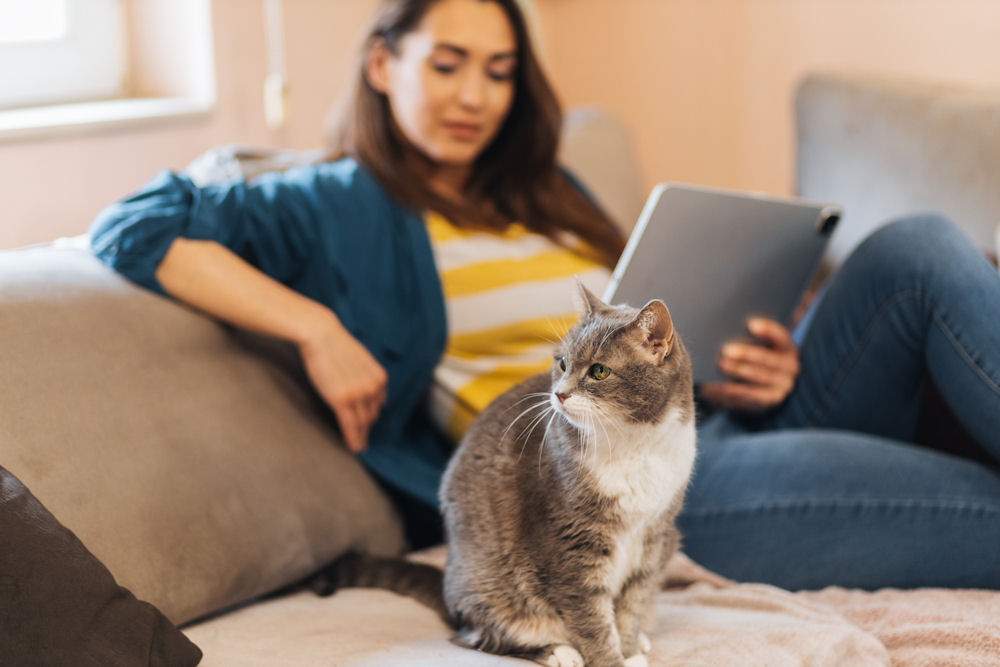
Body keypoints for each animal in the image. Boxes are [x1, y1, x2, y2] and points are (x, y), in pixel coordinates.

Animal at [314, 284, 696, 667]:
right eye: (562, 363)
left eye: (600, 371)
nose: (559, 394)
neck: (633, 444)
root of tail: (449, 587)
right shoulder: (570, 544)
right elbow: (591, 620)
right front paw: (612, 658)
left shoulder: (655, 537)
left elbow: (632, 605)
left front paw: (629, 649)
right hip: (491, 585)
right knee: (479, 635)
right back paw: (556, 650)